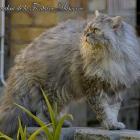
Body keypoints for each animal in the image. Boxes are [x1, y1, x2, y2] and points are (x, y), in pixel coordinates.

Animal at [0, 11, 140, 137]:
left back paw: (60, 123)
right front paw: (109, 124)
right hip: (49, 91)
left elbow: (113, 111)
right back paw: (50, 125)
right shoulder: (94, 87)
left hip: (59, 94)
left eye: (95, 30)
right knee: (41, 112)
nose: (85, 34)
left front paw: (114, 124)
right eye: (86, 29)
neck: (109, 58)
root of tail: (22, 58)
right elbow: (104, 110)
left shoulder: (116, 88)